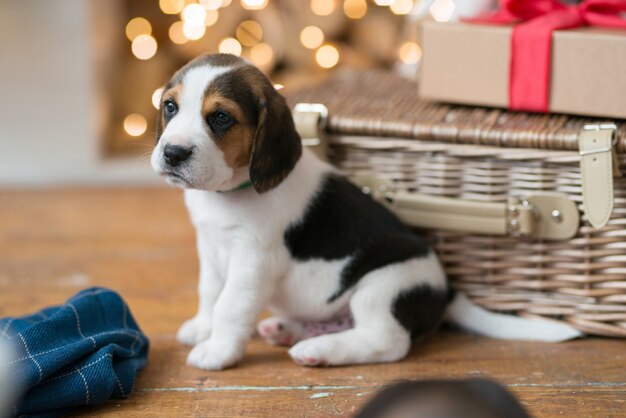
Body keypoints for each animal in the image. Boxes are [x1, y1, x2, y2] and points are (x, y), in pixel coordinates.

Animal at [152, 54, 580, 370]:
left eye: (221, 117)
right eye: (170, 107)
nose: (172, 153)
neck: (227, 193)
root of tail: (445, 291)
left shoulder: (252, 262)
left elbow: (230, 305)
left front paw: (217, 350)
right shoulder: (210, 248)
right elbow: (209, 292)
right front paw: (201, 328)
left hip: (382, 286)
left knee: (388, 342)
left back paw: (320, 351)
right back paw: (289, 330)